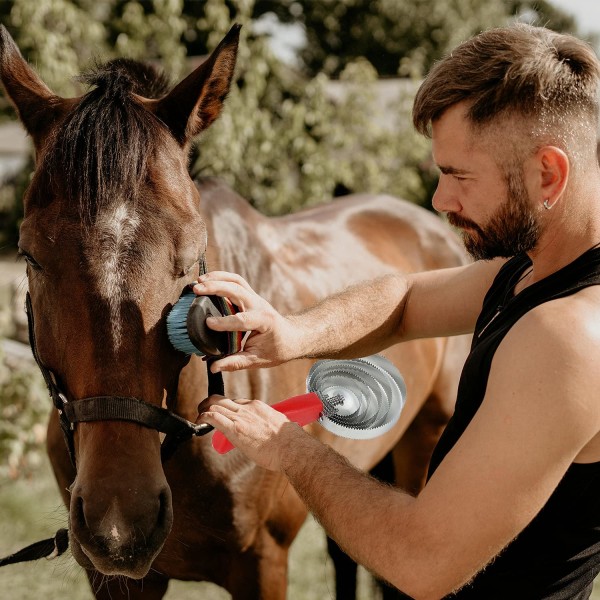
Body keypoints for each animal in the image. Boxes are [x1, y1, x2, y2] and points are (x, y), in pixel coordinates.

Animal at [0, 24, 468, 600]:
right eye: (30, 255)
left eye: (189, 253)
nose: (120, 522)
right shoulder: (117, 581)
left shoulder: (263, 565)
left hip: (422, 453)